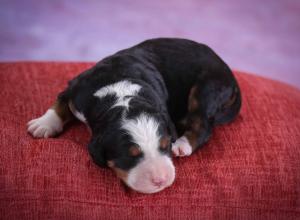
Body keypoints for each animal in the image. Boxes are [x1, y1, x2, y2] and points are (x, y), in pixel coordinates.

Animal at [26, 38, 241, 193]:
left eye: (165, 145)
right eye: (131, 156)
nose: (160, 180)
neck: (120, 92)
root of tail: (228, 71)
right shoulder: (76, 90)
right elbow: (60, 103)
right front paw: (43, 124)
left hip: (206, 87)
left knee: (202, 124)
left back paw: (183, 144)